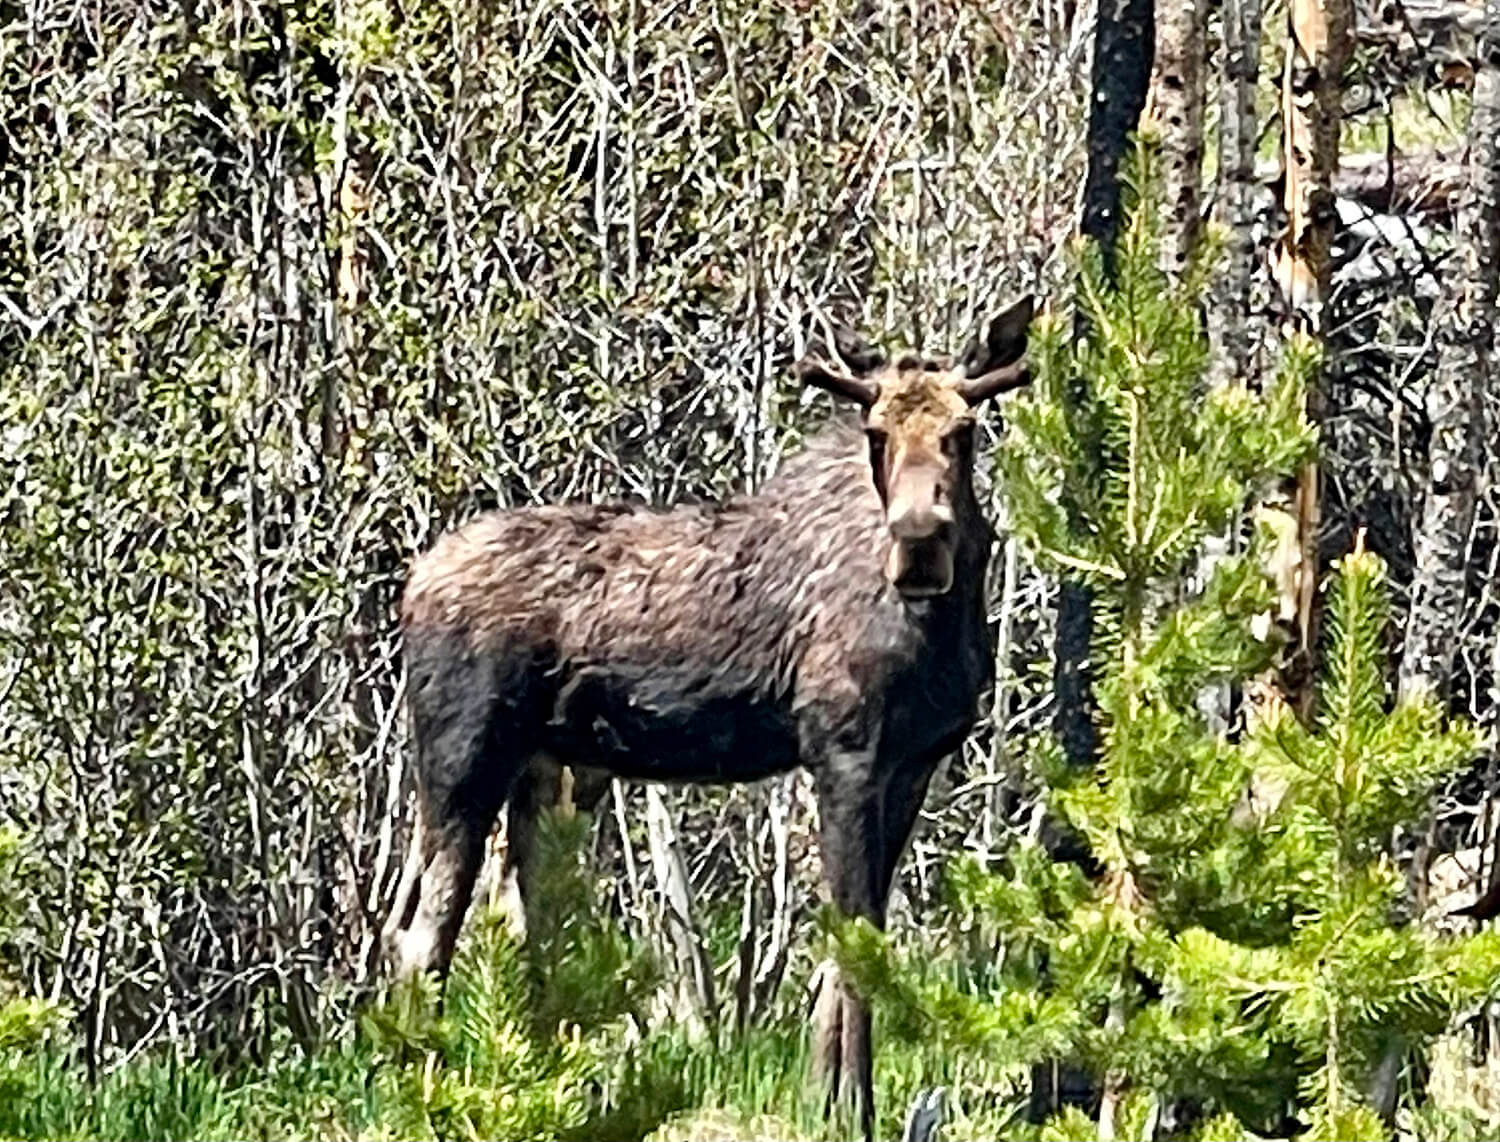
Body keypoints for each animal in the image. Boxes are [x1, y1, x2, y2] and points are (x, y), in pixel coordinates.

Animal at [382, 295, 1035, 1138]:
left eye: (964, 430)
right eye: (876, 432)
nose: (919, 542)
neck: (945, 622)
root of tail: (411, 585)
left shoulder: (913, 762)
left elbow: (853, 946)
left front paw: (825, 1098)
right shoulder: (843, 752)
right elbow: (854, 941)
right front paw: (848, 1111)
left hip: (547, 772)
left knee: (523, 929)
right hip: (463, 757)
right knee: (423, 934)